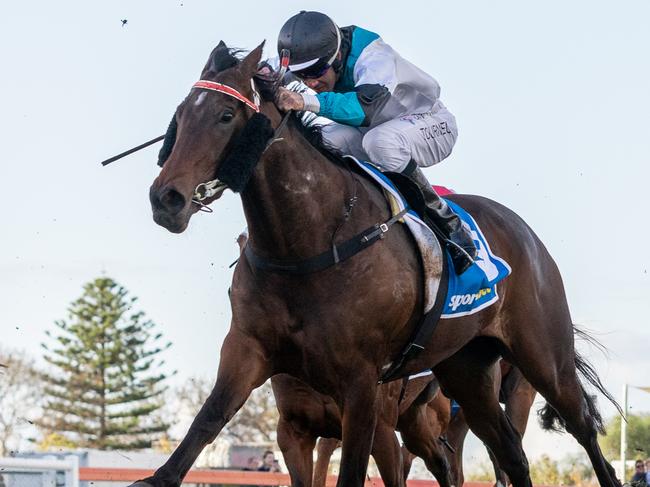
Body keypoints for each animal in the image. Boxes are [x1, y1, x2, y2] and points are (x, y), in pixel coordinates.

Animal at [134, 43, 620, 487]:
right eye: (181, 115)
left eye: (225, 116)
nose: (166, 199)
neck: (307, 244)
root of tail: (527, 236)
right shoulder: (250, 352)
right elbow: (205, 423)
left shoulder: (363, 386)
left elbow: (354, 472)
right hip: (467, 370)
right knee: (511, 454)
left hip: (543, 358)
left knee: (583, 429)